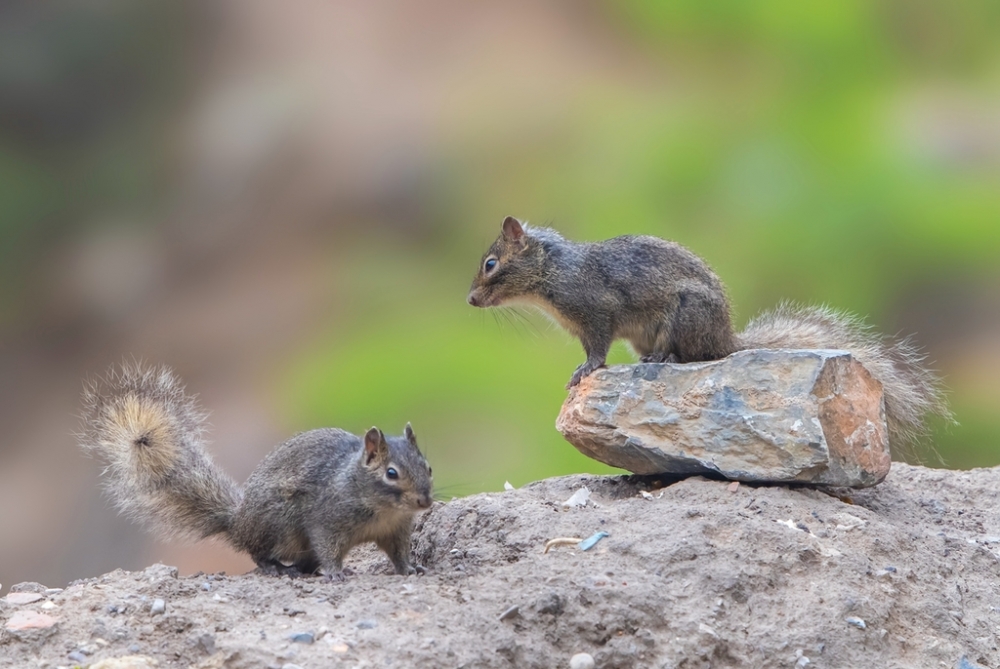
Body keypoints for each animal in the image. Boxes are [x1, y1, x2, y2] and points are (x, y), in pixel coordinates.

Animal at [79, 362, 434, 576]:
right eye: (391, 473)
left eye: (428, 467)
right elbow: (328, 547)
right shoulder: (325, 520)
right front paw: (335, 572)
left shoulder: (396, 531)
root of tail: (237, 522)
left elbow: (399, 553)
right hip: (281, 526)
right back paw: (277, 567)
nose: (425, 501)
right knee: (257, 552)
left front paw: (410, 569)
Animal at [468, 217, 952, 448]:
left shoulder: (598, 315)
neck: (553, 273)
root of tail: (727, 338)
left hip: (684, 318)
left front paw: (585, 371)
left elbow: (597, 352)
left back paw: (664, 359)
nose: (470, 300)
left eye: (491, 264)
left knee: (694, 356)